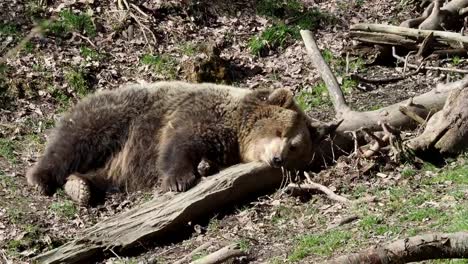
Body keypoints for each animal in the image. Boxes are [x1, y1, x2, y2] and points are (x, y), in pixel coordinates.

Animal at [25, 81, 330, 205]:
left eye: (294, 147)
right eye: (280, 132)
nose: (278, 159)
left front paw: (205, 167)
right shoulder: (198, 113)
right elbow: (181, 142)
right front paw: (179, 179)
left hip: (119, 162)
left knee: (105, 176)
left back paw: (81, 186)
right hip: (114, 118)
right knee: (73, 142)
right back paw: (41, 178)